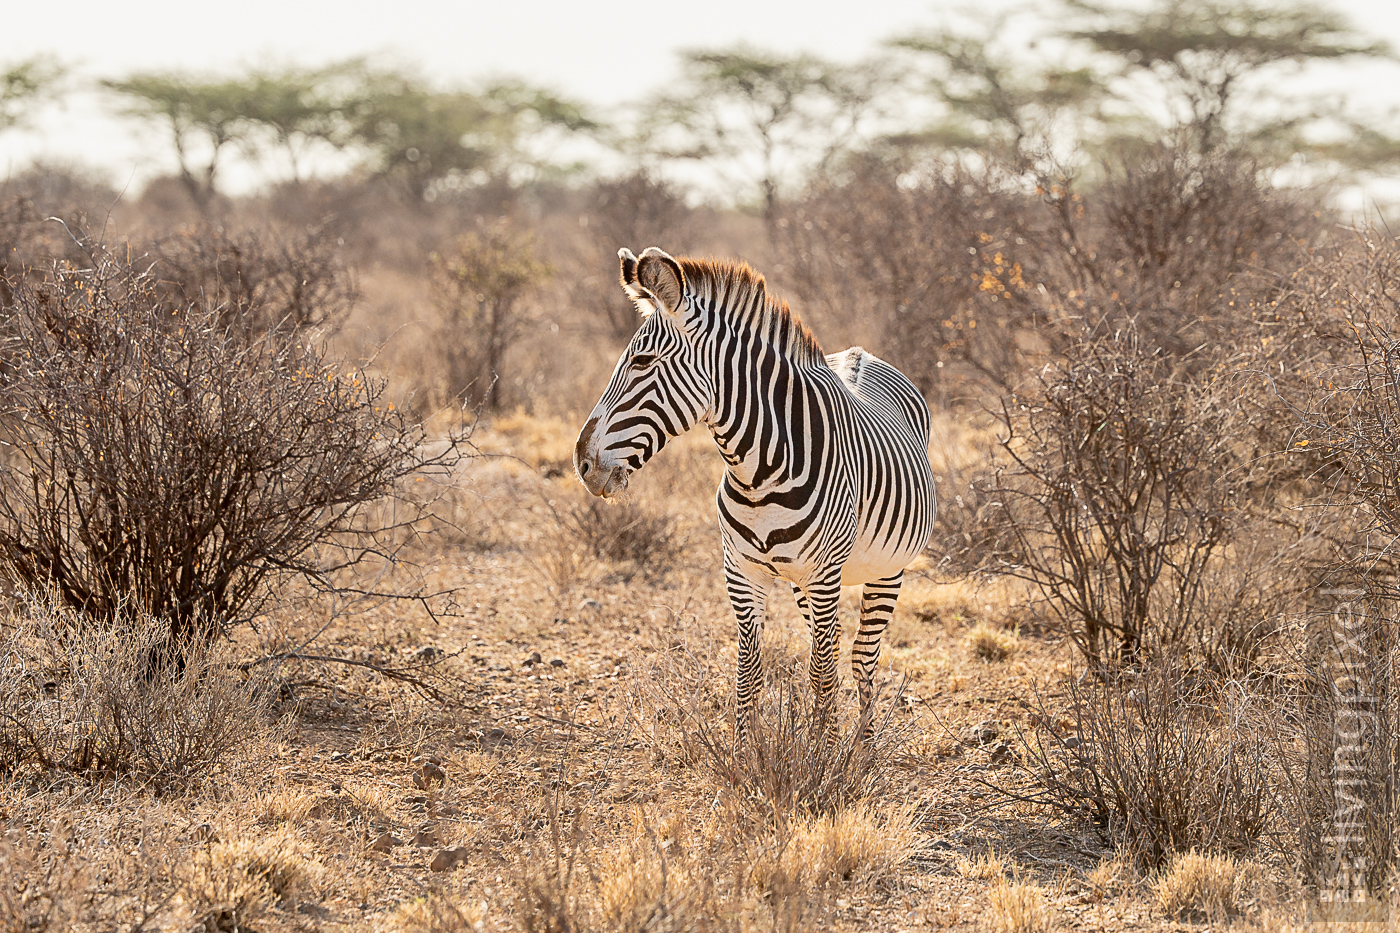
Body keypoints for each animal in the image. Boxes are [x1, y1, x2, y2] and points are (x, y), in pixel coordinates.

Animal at [574, 245, 935, 739]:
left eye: (642, 362)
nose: (582, 464)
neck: (760, 475)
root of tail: (860, 354)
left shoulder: (824, 574)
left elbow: (823, 671)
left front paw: (822, 753)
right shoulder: (741, 571)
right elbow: (751, 669)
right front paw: (746, 750)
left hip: (885, 569)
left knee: (862, 656)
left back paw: (863, 745)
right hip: (804, 583)